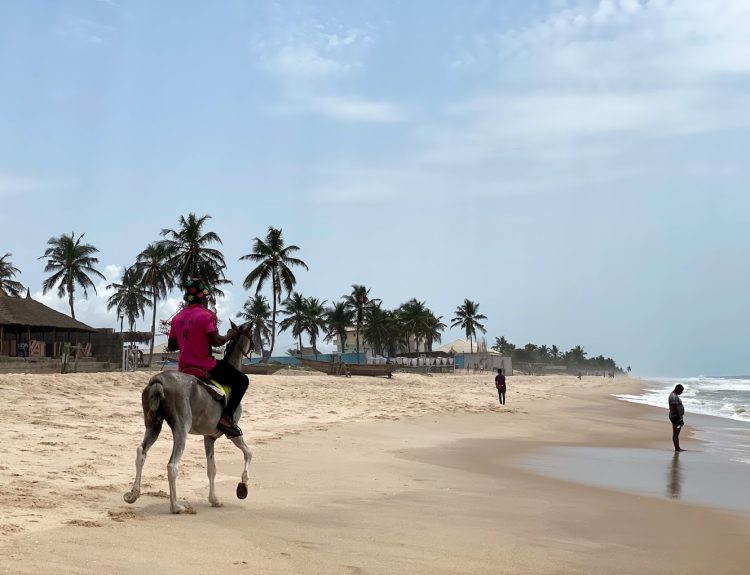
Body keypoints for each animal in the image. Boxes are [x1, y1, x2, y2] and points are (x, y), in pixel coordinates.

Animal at [123, 322, 253, 516]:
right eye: (252, 334)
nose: (255, 347)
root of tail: (158, 380)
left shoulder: (209, 437)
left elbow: (212, 469)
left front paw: (214, 499)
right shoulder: (233, 433)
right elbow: (248, 453)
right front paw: (242, 486)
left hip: (153, 426)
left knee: (141, 452)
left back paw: (134, 494)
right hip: (181, 428)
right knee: (172, 466)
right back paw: (176, 506)